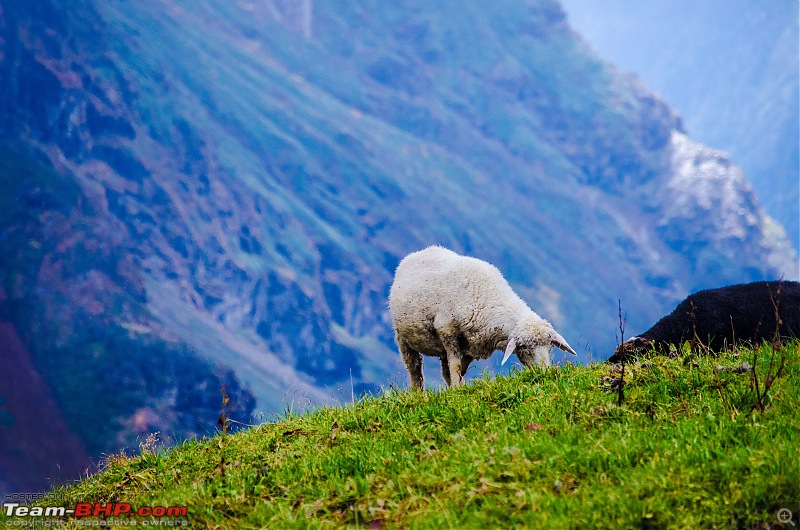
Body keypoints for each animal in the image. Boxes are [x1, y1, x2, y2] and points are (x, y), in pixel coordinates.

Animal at [388, 244, 576, 388]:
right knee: (414, 370)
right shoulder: (447, 331)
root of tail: (420, 252)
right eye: (524, 348)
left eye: (550, 348)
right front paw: (456, 389)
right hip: (403, 337)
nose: (545, 374)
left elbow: (459, 367)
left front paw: (458, 385)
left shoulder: (475, 343)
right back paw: (418, 393)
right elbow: (455, 365)